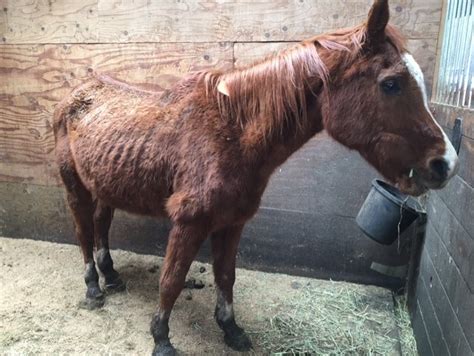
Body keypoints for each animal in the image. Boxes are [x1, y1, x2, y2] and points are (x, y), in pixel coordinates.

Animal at [53, 0, 458, 354]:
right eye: (391, 83)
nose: (446, 164)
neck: (232, 135)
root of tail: (76, 93)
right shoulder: (188, 222)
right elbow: (171, 280)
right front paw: (162, 339)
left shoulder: (232, 223)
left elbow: (226, 276)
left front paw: (231, 330)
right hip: (75, 187)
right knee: (83, 232)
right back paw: (93, 288)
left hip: (104, 184)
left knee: (101, 225)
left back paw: (112, 277)